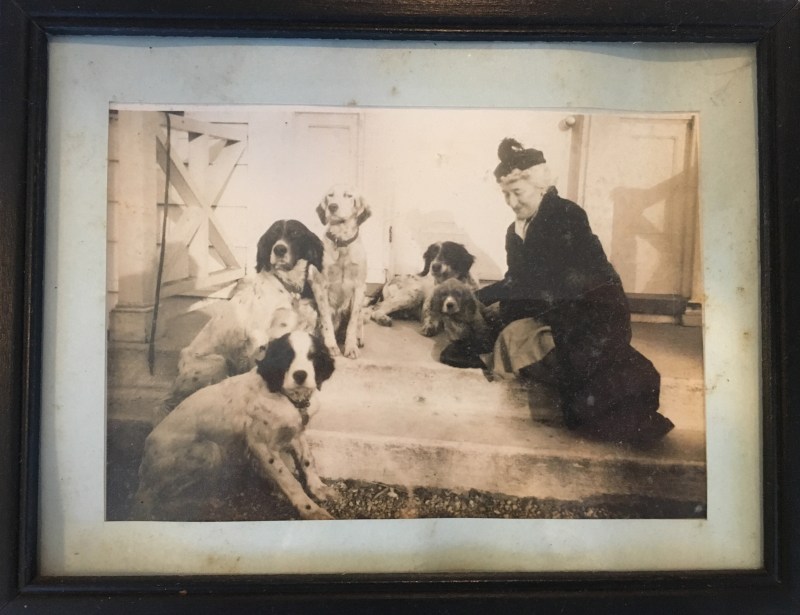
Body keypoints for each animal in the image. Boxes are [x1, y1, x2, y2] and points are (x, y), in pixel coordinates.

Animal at [135, 331, 336, 521]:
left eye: (313, 356)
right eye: (287, 357)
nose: (300, 375)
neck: (288, 398)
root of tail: (142, 471)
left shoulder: (296, 432)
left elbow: (308, 460)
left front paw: (319, 488)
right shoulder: (260, 444)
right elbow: (288, 479)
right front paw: (310, 510)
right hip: (211, 450)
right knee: (163, 496)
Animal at [165, 220, 324, 412]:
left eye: (295, 233)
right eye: (273, 234)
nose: (279, 249)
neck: (289, 289)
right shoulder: (259, 335)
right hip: (218, 361)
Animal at [309, 185, 371, 359]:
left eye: (348, 195)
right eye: (330, 195)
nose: (332, 207)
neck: (342, 243)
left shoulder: (359, 287)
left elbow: (352, 323)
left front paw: (351, 347)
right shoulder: (320, 286)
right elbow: (326, 322)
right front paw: (331, 346)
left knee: (359, 320)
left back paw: (359, 338)